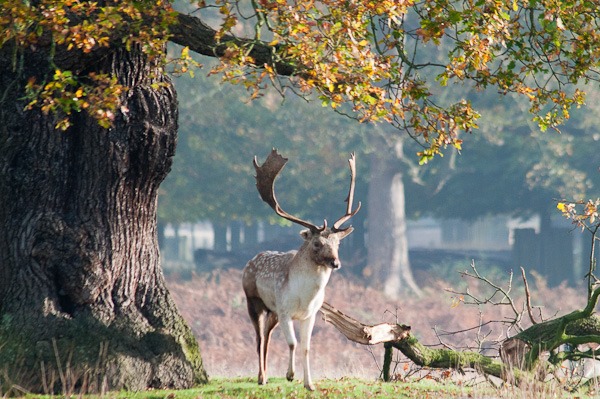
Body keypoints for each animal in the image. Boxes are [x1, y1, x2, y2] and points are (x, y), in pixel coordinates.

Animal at [240, 149, 360, 390]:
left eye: (338, 243)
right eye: (317, 243)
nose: (336, 263)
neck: (303, 298)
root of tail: (251, 260)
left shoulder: (310, 314)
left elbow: (306, 347)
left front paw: (309, 383)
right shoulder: (285, 310)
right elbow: (292, 343)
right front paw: (290, 375)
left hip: (273, 311)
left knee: (266, 336)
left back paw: (264, 375)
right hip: (254, 301)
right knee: (259, 338)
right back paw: (261, 377)